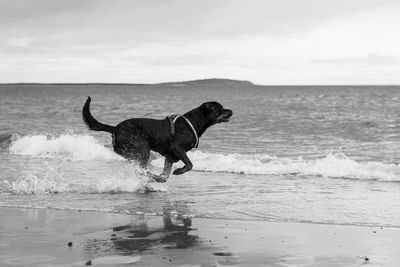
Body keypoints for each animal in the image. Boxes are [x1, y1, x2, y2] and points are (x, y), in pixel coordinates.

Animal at [82, 97, 231, 182]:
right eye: (221, 109)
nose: (232, 111)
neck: (195, 121)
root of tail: (115, 129)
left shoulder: (170, 155)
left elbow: (166, 173)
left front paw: (163, 176)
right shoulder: (177, 148)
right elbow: (189, 164)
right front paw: (179, 171)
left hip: (131, 153)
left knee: (139, 168)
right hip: (142, 149)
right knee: (141, 169)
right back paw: (151, 176)